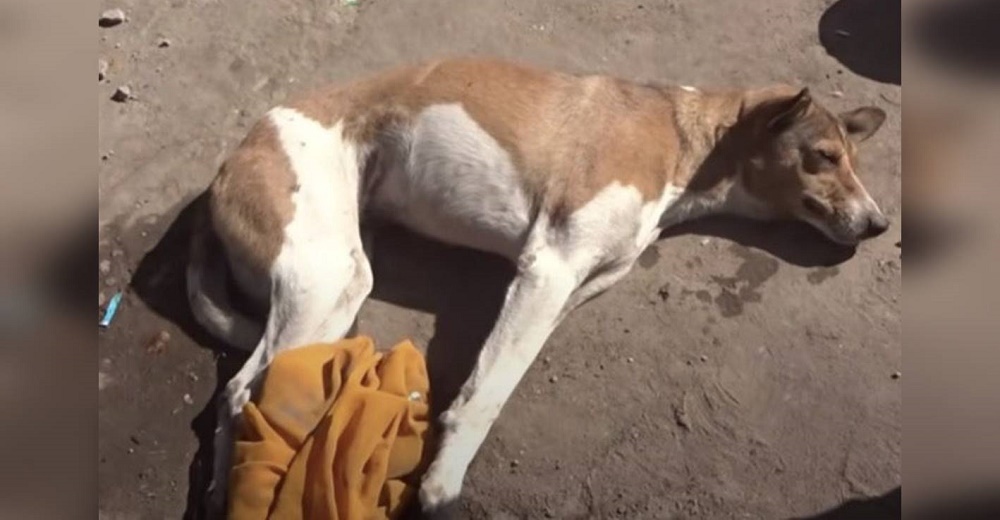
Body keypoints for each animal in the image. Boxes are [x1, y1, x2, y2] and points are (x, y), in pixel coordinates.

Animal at [188, 58, 892, 516]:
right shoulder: (548, 267)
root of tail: (231, 160)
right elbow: (487, 394)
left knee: (250, 391)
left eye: (855, 161)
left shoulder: (570, 286)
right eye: (824, 157)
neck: (687, 141)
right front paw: (442, 483)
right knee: (242, 389)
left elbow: (493, 377)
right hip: (326, 274)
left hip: (340, 291)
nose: (880, 224)